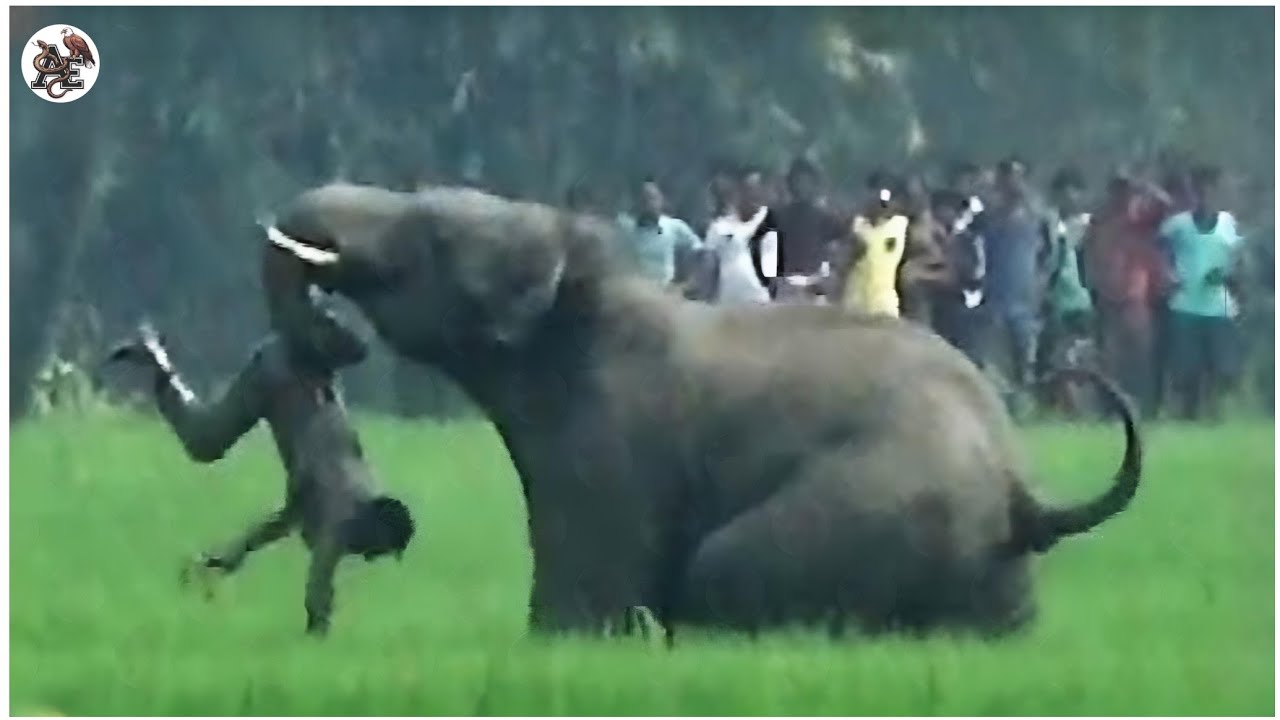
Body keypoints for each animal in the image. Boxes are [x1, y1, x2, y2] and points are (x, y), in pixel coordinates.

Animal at [257, 182, 1142, 639]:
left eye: (431, 236)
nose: (332, 340)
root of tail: (1025, 498)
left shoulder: (609, 444)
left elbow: (586, 601)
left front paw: (566, 636)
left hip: (876, 505)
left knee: (724, 568)